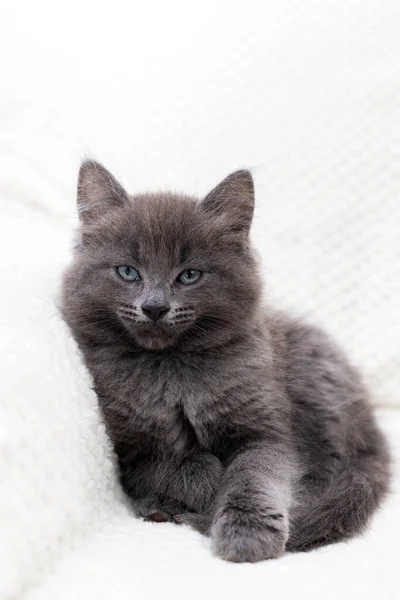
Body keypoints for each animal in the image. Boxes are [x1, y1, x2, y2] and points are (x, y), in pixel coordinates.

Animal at [61, 161, 390, 564]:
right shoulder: (128, 447)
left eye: (189, 275)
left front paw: (247, 535)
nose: (154, 307)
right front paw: (205, 487)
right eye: (128, 272)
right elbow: (181, 467)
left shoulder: (267, 429)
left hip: (315, 390)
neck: (171, 366)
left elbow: (254, 475)